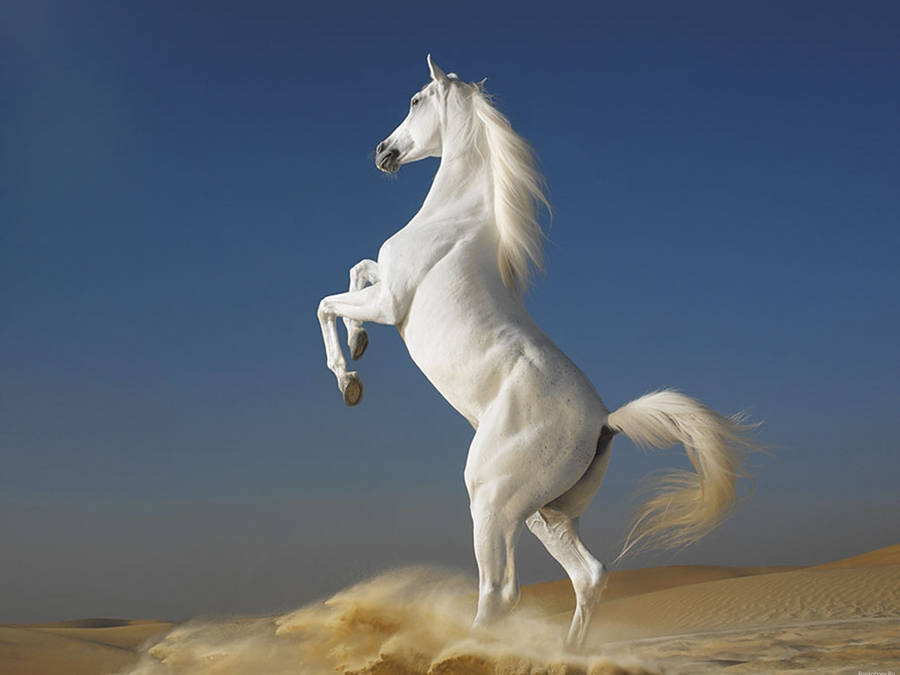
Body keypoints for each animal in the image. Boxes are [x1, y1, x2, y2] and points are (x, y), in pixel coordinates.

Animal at [316, 55, 759, 648]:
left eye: (414, 100)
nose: (383, 152)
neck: (453, 220)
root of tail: (605, 422)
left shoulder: (391, 302)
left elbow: (328, 301)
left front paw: (349, 379)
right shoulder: (383, 287)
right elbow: (358, 269)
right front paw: (360, 345)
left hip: (491, 500)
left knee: (501, 592)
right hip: (542, 514)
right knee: (588, 576)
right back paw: (567, 652)